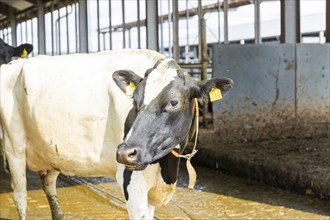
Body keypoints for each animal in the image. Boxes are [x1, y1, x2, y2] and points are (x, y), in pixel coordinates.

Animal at [0, 49, 233, 219]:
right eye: (134, 100)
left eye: (173, 102)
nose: (124, 152)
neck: (168, 169)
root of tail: (13, 64)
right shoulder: (132, 181)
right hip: (14, 148)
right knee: (20, 198)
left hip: (51, 151)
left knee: (49, 186)